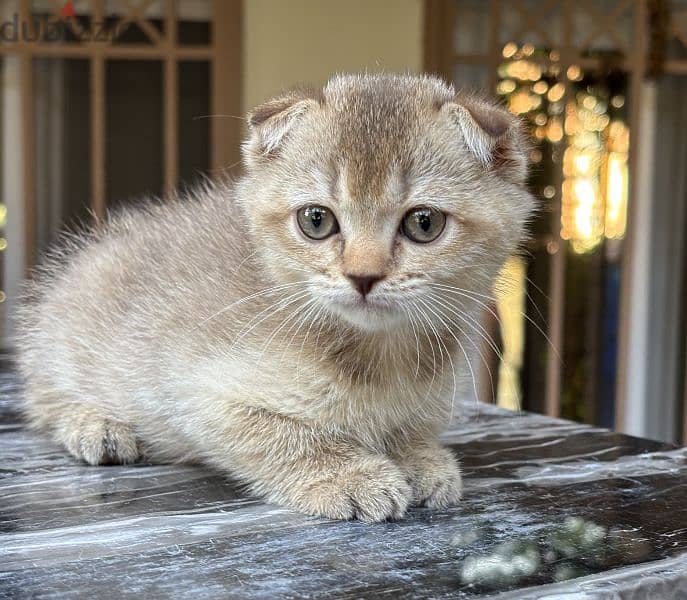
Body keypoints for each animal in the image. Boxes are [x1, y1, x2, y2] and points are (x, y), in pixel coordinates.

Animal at [13, 72, 536, 520]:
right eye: (316, 220)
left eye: (424, 223)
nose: (362, 276)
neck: (378, 358)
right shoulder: (195, 392)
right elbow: (285, 435)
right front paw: (350, 476)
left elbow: (410, 428)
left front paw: (421, 459)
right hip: (67, 342)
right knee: (43, 398)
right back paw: (96, 426)